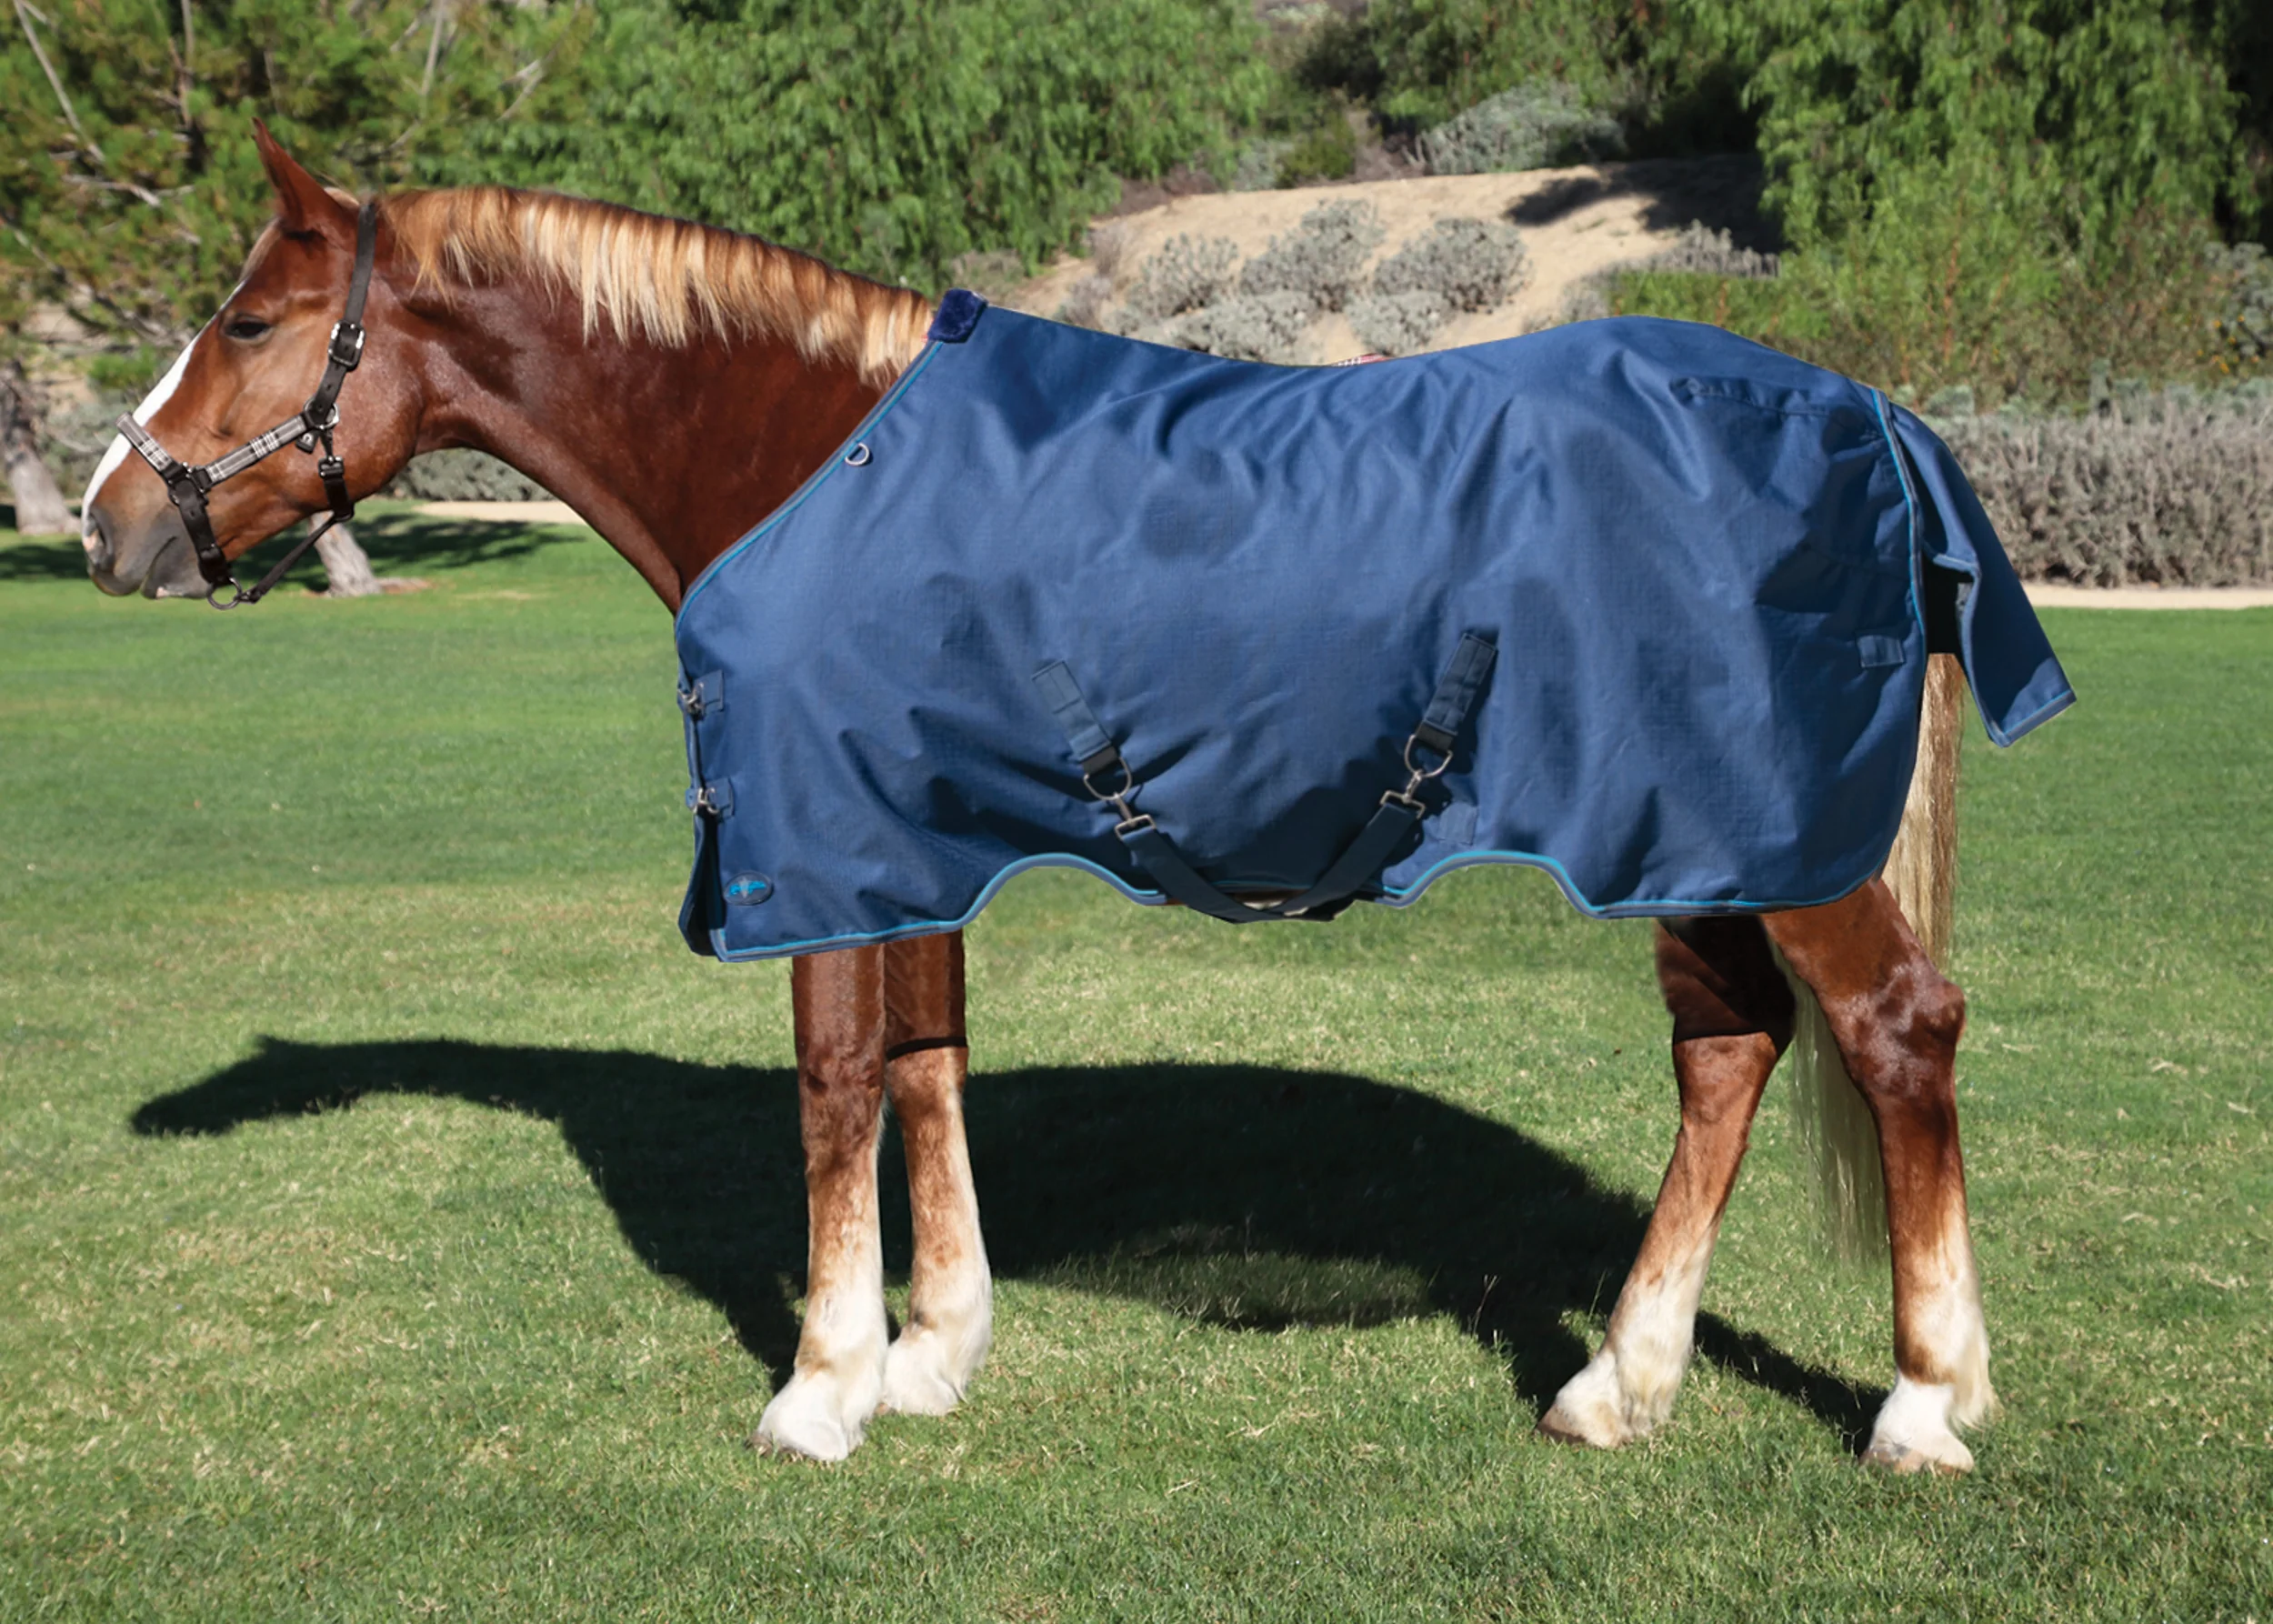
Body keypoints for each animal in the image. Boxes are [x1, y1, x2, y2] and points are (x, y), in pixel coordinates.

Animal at [82, 126, 2016, 1475]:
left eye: (251, 322)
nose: (108, 521)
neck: (814, 452)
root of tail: (1870, 416)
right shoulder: (914, 842)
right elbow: (928, 1061)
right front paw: (935, 1351)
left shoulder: (827, 844)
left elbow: (837, 1084)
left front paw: (822, 1388)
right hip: (1695, 840)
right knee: (1732, 1049)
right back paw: (1620, 1383)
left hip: (1765, 838)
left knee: (1895, 1028)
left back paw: (1924, 1403)